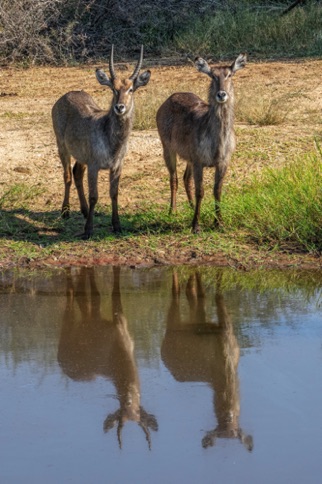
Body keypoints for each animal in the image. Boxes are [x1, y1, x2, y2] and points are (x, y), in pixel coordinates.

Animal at [51, 45, 151, 238]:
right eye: (113, 89)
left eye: (131, 89)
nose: (120, 107)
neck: (112, 142)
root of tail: (67, 94)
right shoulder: (94, 165)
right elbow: (94, 196)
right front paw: (88, 230)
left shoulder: (117, 166)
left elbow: (114, 194)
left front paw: (117, 225)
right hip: (62, 147)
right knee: (67, 176)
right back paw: (65, 211)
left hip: (81, 156)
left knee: (76, 174)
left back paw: (83, 211)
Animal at [58, 266, 159, 448]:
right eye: (121, 411)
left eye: (138, 411)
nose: (129, 396)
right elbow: (107, 296)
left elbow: (114, 290)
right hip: (68, 333)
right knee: (71, 296)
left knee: (85, 293)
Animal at [157, 54, 247, 233]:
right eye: (212, 76)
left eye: (229, 75)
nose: (221, 94)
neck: (217, 143)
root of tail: (170, 98)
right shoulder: (199, 162)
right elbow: (201, 192)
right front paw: (196, 226)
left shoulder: (222, 162)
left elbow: (217, 191)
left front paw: (219, 223)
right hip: (168, 148)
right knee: (174, 178)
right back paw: (173, 211)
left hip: (189, 158)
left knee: (185, 178)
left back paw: (191, 207)